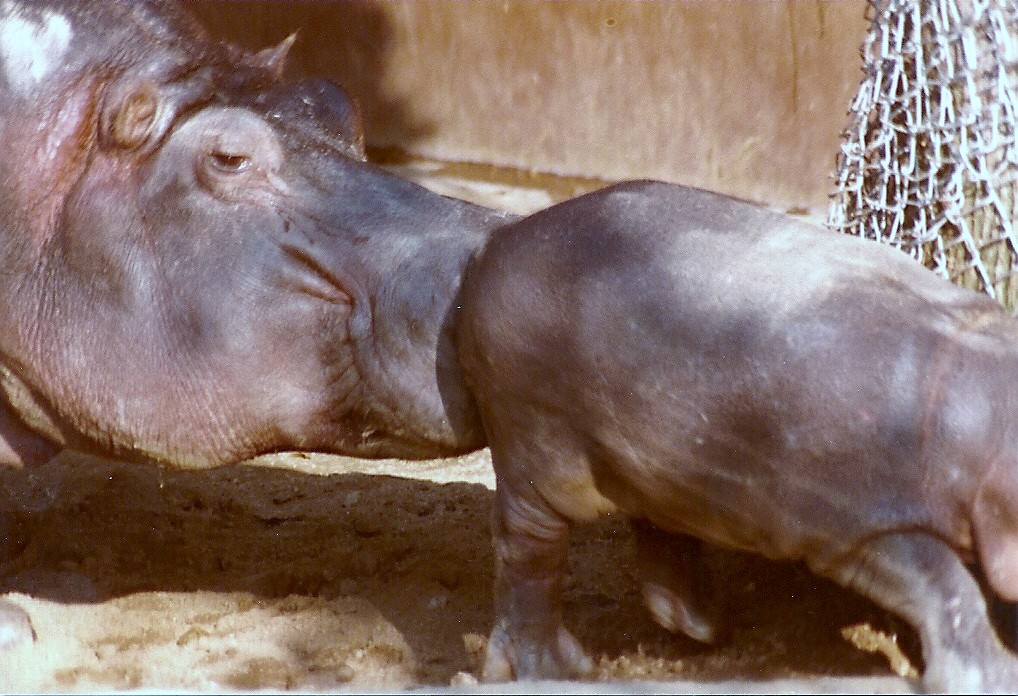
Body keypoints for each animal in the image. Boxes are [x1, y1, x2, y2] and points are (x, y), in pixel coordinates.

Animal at [457, 181, 1018, 692]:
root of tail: (499, 242)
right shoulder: (861, 528)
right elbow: (946, 585)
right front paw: (990, 677)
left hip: (657, 456)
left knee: (658, 526)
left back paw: (703, 626)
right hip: (536, 451)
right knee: (528, 549)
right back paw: (553, 669)